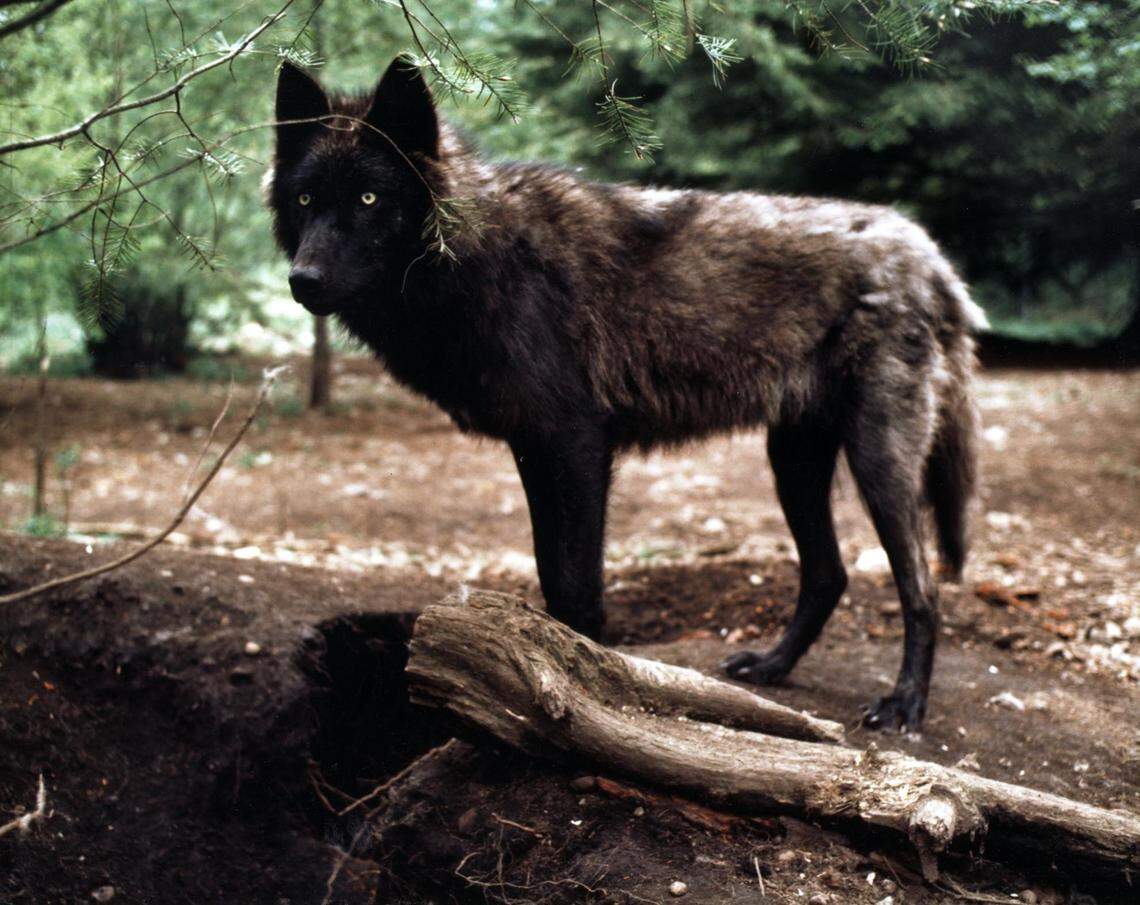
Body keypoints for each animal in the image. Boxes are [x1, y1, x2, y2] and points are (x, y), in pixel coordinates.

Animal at [266, 58, 983, 731]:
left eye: (367, 198)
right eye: (304, 201)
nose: (303, 280)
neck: (475, 257)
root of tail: (928, 252)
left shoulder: (578, 447)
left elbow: (578, 587)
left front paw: (584, 687)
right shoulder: (534, 451)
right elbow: (551, 577)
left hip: (878, 462)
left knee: (923, 590)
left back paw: (904, 705)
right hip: (793, 461)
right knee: (829, 574)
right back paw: (773, 667)